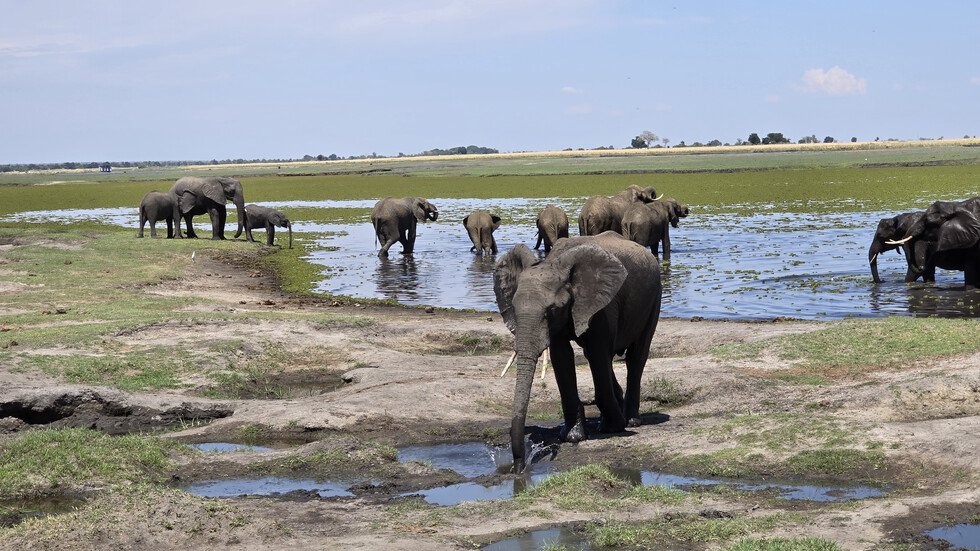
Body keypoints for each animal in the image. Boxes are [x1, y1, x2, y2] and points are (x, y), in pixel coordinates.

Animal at [494, 231, 664, 472]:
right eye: (515, 309)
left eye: (552, 310)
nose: (518, 467)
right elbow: (562, 357)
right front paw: (572, 436)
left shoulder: (601, 305)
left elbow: (596, 352)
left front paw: (613, 428)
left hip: (654, 297)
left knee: (636, 356)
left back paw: (630, 420)